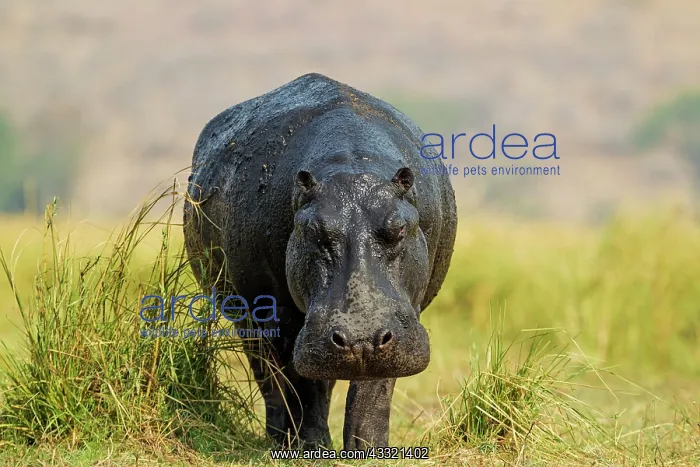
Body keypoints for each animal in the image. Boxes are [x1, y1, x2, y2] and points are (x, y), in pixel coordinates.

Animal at [183, 73, 457, 450]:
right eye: (314, 230)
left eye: (399, 227)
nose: (360, 339)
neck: (352, 161)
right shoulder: (282, 315)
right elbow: (301, 386)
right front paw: (312, 448)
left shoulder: (398, 321)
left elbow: (373, 388)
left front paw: (369, 450)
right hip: (249, 316)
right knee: (270, 377)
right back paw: (280, 441)